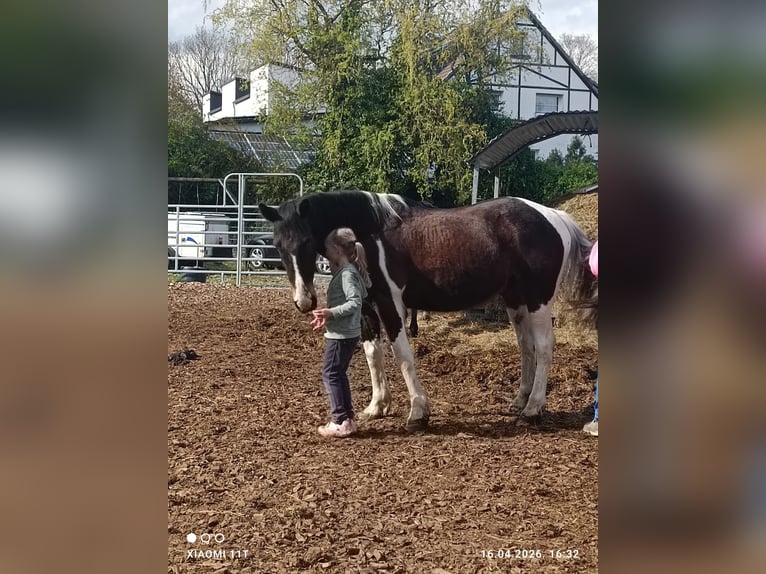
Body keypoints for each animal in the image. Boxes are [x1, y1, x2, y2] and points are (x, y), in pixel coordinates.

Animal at [260, 191, 596, 431]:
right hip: (517, 300)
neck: (370, 234)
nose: (304, 302)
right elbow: (372, 354)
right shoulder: (367, 306)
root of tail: (554, 216)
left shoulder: (391, 303)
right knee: (526, 347)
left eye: (305, 242)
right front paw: (377, 406)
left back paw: (533, 409)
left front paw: (418, 412)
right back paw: (519, 401)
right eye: (277, 245)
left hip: (539, 300)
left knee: (544, 347)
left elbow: (402, 356)